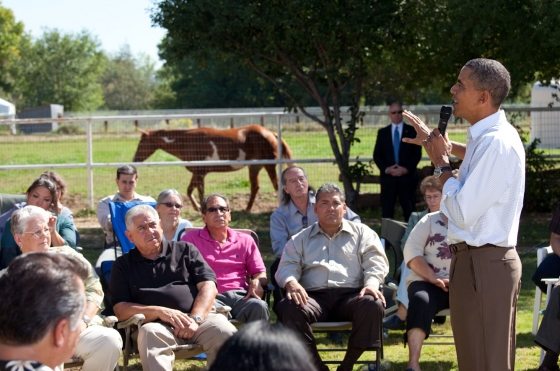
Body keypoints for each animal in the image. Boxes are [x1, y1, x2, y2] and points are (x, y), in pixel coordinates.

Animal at [133, 125, 296, 212]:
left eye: (141, 142)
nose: (135, 159)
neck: (187, 141)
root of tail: (270, 132)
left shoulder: (199, 173)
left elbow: (199, 192)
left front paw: (200, 208)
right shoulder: (198, 173)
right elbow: (190, 190)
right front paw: (197, 207)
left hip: (269, 166)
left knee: (276, 185)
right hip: (254, 167)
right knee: (255, 187)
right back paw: (247, 209)